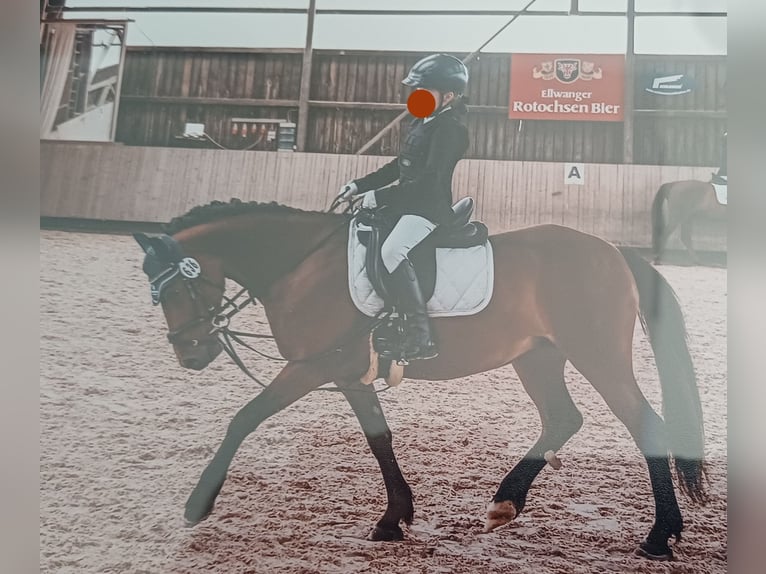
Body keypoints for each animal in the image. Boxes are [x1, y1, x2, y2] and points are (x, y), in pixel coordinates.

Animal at [133, 199, 708, 561]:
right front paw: (393, 520)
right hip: (538, 357)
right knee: (563, 418)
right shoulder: (349, 374)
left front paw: (197, 505)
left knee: (645, 425)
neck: (300, 266)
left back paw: (660, 537)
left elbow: (243, 418)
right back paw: (505, 503)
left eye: (173, 290)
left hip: (597, 355)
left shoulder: (310, 366)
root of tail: (612, 250)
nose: (190, 352)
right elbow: (379, 438)